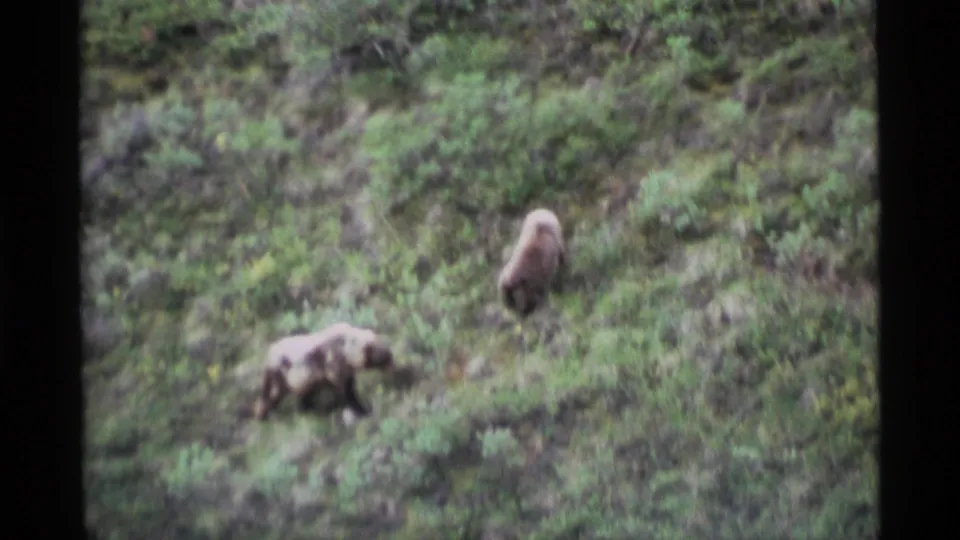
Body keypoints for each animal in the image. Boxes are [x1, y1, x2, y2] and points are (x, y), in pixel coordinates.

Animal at [252, 322, 395, 422]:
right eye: (377, 352)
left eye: (381, 342)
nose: (391, 357)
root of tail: (268, 356)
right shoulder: (333, 365)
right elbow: (346, 393)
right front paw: (361, 410)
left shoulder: (343, 371)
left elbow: (348, 387)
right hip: (281, 374)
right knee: (271, 395)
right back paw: (263, 415)